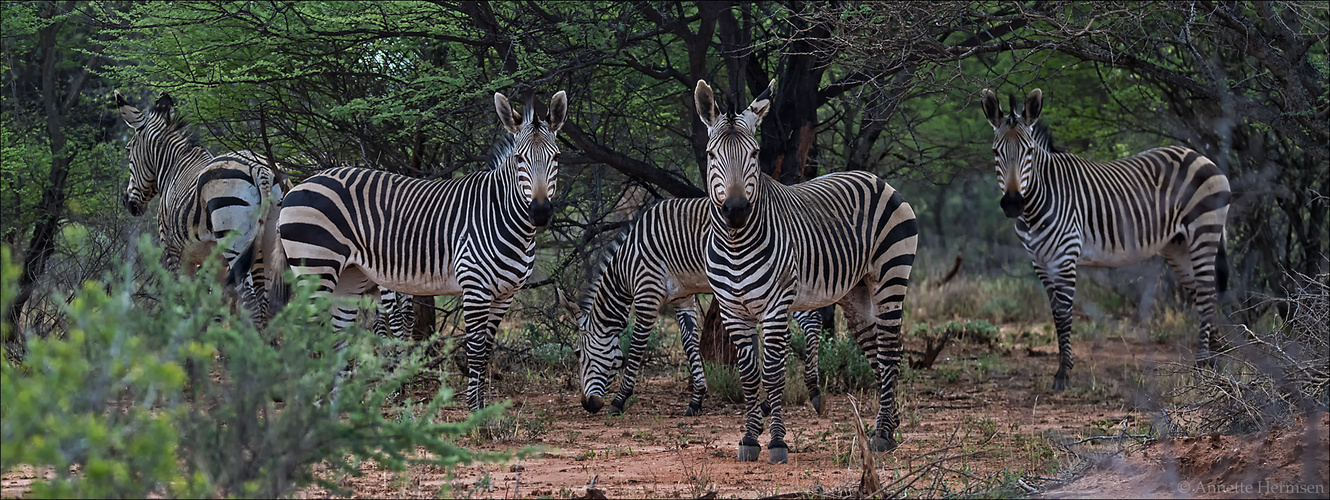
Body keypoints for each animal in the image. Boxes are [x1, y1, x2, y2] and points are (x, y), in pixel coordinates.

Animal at [116, 93, 288, 328]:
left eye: (128, 150)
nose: (128, 203)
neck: (173, 167)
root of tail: (260, 169)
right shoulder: (214, 261)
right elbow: (216, 307)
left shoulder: (174, 251)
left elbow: (184, 301)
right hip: (269, 240)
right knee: (266, 306)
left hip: (235, 242)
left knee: (251, 302)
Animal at [277, 89, 569, 409]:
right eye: (519, 158)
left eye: (556, 157)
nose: (540, 213)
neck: (501, 215)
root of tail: (298, 184)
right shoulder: (475, 287)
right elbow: (476, 350)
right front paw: (475, 411)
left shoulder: (505, 294)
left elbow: (487, 351)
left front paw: (483, 408)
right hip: (315, 267)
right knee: (307, 333)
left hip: (348, 277)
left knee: (337, 337)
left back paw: (335, 407)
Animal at [561, 196, 829, 414]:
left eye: (578, 353)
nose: (587, 405)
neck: (626, 266)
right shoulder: (682, 298)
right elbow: (690, 344)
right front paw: (696, 399)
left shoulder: (648, 292)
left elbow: (636, 348)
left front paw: (619, 400)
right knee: (804, 326)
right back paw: (779, 399)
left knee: (810, 323)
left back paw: (807, 393)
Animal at [691, 79, 920, 465]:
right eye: (710, 155)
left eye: (755, 155)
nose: (736, 211)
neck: (736, 244)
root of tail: (874, 177)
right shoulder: (732, 311)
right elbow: (749, 376)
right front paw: (749, 439)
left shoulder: (775, 307)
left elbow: (773, 374)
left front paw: (777, 443)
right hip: (855, 293)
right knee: (877, 352)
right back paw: (890, 424)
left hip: (890, 277)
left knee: (890, 352)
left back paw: (881, 435)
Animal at [984, 87, 1228, 388]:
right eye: (995, 152)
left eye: (1028, 151)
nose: (1012, 204)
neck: (1035, 206)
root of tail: (1200, 155)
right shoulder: (1040, 262)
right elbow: (1055, 314)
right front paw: (1063, 369)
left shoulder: (1065, 257)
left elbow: (1064, 315)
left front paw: (1063, 374)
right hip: (1178, 245)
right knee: (1201, 294)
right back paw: (1214, 362)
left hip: (1204, 231)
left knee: (1207, 294)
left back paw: (1200, 366)